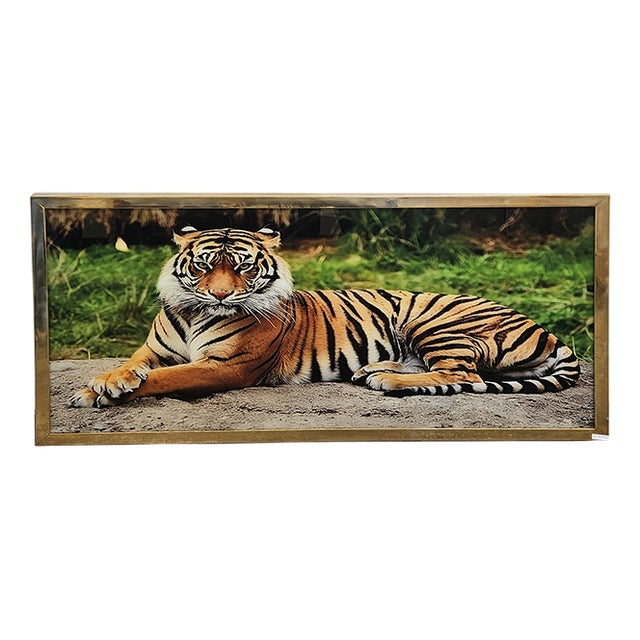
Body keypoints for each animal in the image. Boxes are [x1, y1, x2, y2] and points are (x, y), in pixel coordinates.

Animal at [69, 226, 581, 408]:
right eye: (203, 266)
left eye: (244, 267)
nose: (220, 296)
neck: (196, 312)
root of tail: (545, 329)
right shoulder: (152, 349)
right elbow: (133, 365)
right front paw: (103, 381)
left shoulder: (228, 366)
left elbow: (167, 378)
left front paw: (97, 391)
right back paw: (373, 369)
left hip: (434, 319)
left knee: (461, 374)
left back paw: (386, 380)